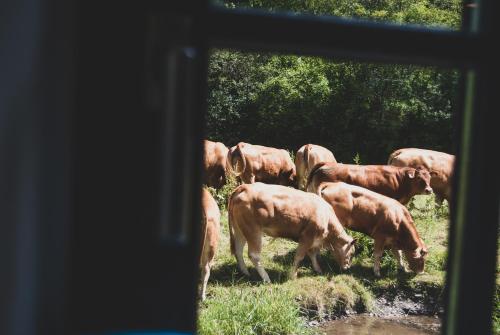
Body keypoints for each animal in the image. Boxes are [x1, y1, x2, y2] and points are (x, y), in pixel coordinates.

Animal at [228, 182, 356, 282]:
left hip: (240, 229)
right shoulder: (307, 237)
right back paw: (266, 278)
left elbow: (313, 254)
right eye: (351, 253)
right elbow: (299, 256)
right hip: (253, 230)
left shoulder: (314, 240)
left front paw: (318, 269)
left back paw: (245, 272)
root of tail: (245, 187)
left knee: (238, 250)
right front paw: (293, 276)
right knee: (254, 255)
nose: (347, 268)